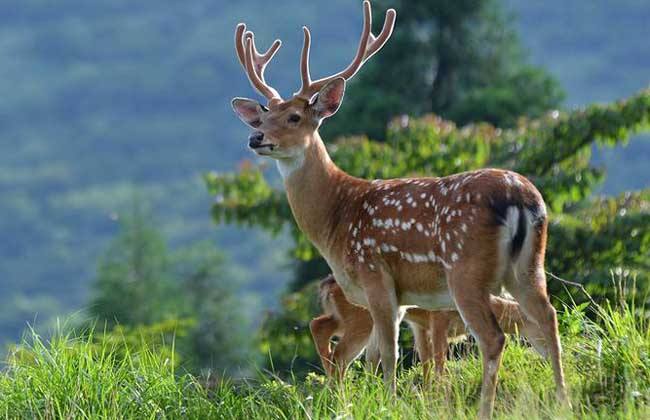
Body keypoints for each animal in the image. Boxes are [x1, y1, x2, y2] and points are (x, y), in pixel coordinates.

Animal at [308, 274, 548, 386]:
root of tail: (326, 285)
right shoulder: (438, 318)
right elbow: (439, 359)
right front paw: (440, 390)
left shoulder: (421, 326)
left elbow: (426, 361)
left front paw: (428, 391)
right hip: (361, 319)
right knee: (340, 354)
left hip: (346, 318)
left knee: (319, 325)